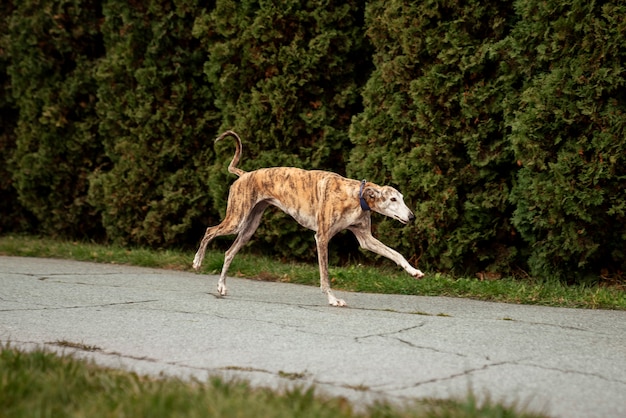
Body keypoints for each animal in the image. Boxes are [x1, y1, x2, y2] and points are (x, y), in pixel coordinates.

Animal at [193, 129, 422, 306]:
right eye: (393, 199)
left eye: (401, 198)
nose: (412, 217)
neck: (355, 195)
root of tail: (244, 174)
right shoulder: (321, 238)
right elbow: (325, 275)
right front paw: (333, 299)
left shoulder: (366, 239)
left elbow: (395, 254)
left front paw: (414, 271)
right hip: (236, 220)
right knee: (209, 231)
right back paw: (197, 261)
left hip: (249, 228)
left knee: (228, 253)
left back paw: (221, 286)